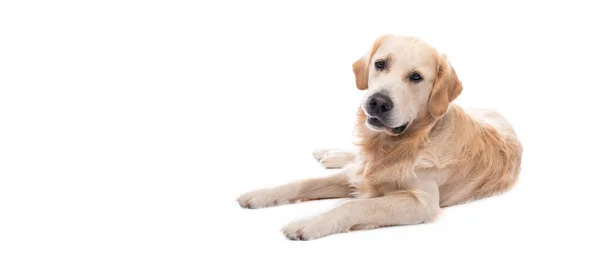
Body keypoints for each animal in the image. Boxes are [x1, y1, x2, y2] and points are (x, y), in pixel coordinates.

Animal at [237, 35, 524, 241]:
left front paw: (308, 222)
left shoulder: (422, 202)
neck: (395, 144)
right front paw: (260, 195)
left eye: (416, 77)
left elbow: (350, 206)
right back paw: (330, 154)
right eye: (380, 64)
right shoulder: (360, 173)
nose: (377, 102)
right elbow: (303, 183)